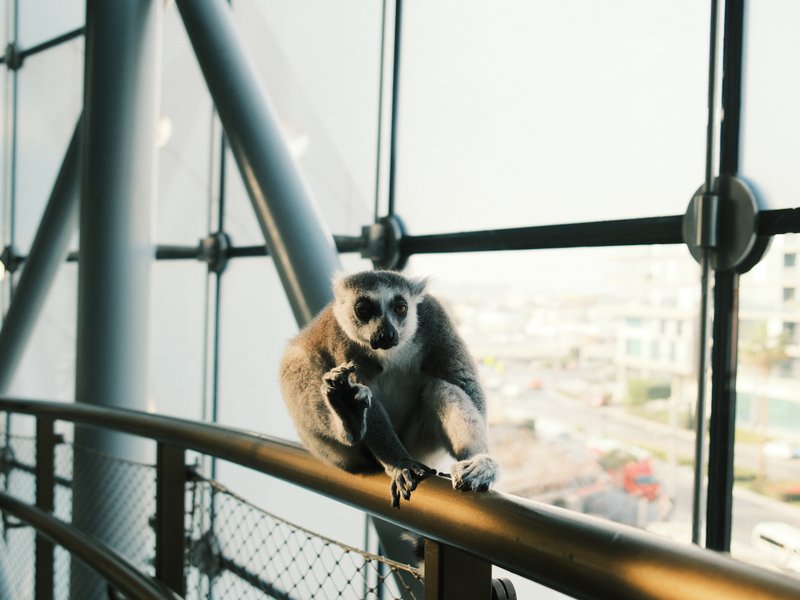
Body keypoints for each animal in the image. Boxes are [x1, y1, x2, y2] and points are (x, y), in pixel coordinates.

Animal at [279, 269, 498, 507]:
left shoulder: (434, 318)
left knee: (440, 387)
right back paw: (348, 417)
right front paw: (400, 463)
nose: (386, 334)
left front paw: (481, 462)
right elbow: (370, 402)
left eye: (400, 308)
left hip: (421, 444)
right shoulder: (340, 339)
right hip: (330, 451)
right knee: (297, 362)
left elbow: (461, 379)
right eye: (363, 309)